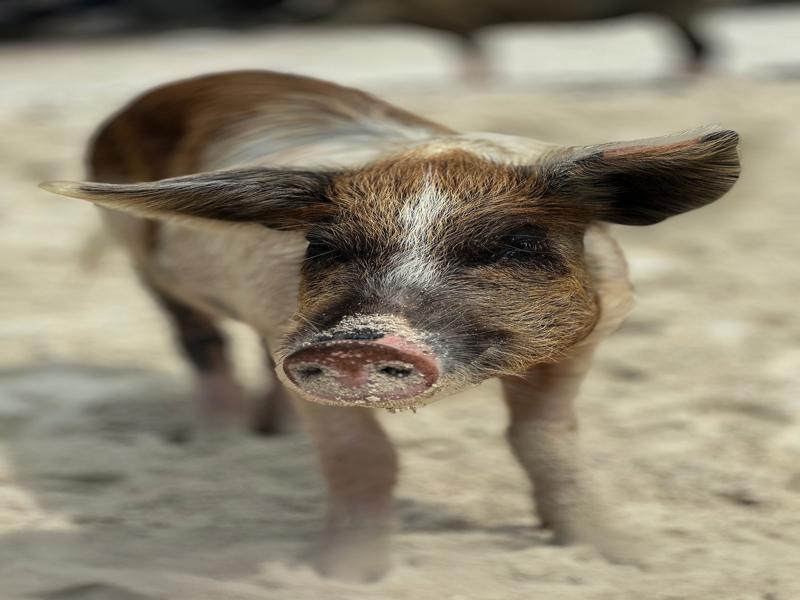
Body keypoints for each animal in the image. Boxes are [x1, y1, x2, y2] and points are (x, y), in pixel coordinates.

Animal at [40, 71, 740, 581]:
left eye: (515, 245)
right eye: (325, 247)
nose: (355, 340)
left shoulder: (578, 344)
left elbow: (544, 441)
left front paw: (622, 556)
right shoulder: (298, 353)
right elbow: (362, 456)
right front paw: (346, 577)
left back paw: (269, 435)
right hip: (145, 263)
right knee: (200, 342)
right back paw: (221, 443)